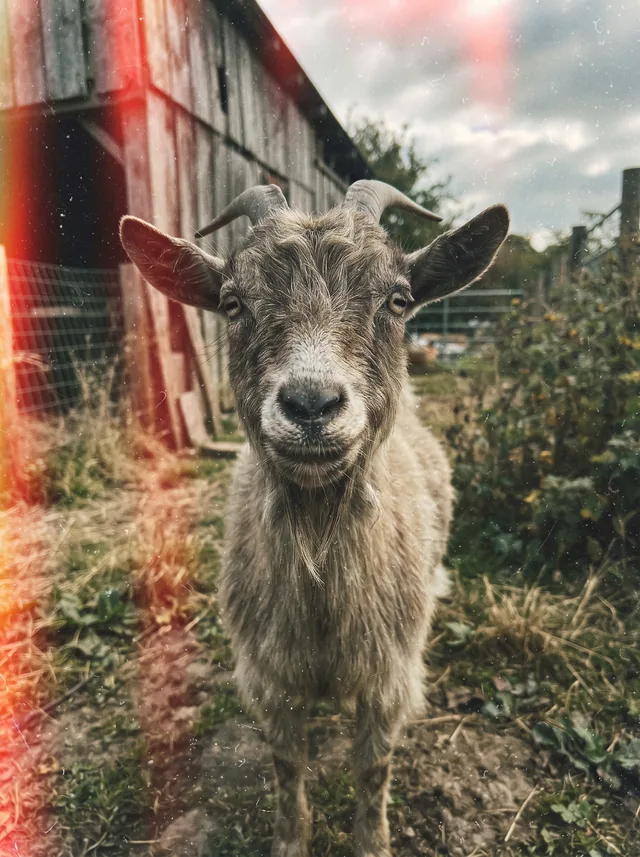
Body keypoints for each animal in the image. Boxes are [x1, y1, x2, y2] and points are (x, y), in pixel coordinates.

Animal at [120, 181, 508, 857]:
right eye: (232, 303)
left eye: (397, 299)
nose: (310, 404)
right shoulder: (270, 678)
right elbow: (287, 766)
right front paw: (290, 839)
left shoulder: (388, 677)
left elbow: (373, 769)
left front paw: (372, 842)